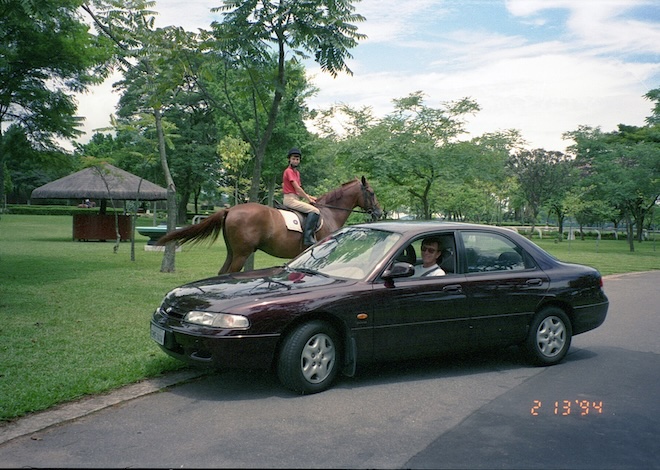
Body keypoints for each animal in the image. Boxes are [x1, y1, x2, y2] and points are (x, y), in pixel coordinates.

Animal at [157, 176, 382, 274]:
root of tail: (231, 210)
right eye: (371, 193)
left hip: (232, 252)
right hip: (242, 253)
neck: (328, 213)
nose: (379, 212)